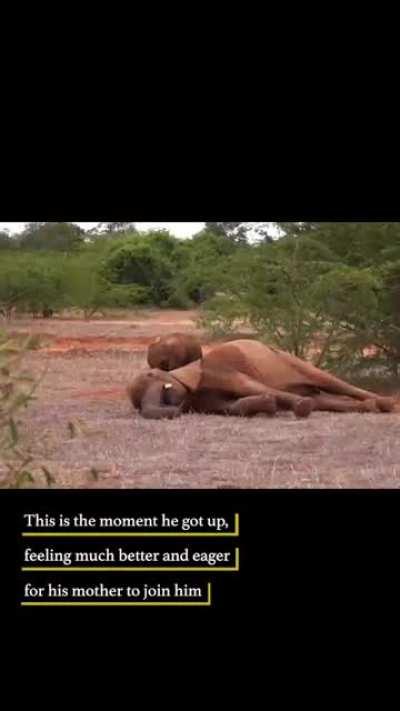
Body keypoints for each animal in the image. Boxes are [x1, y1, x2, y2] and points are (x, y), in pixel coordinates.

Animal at [129, 338, 395, 419]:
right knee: (326, 400)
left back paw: (386, 404)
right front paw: (268, 404)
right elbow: (232, 407)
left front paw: (299, 407)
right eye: (137, 403)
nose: (176, 411)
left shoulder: (220, 370)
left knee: (331, 382)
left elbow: (250, 387)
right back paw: (370, 407)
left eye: (153, 375)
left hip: (288, 359)